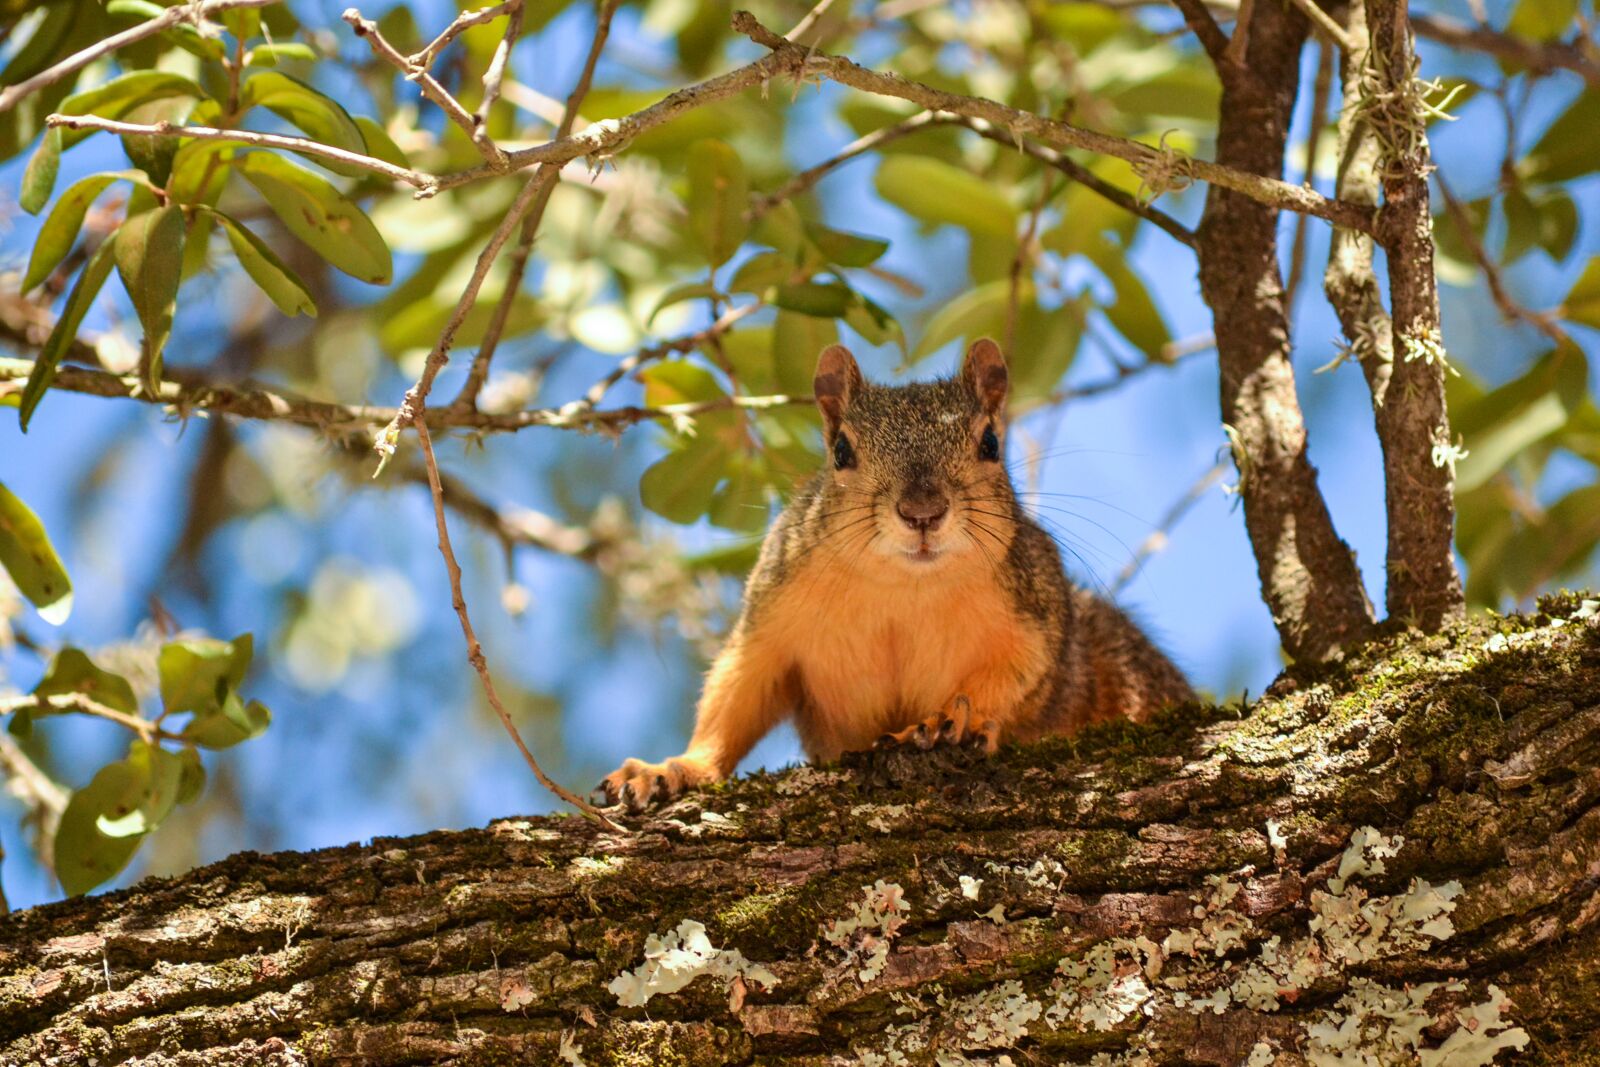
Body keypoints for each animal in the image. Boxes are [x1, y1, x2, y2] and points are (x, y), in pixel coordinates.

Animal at [598, 338, 1194, 810]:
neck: (904, 589)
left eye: (990, 443)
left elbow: (1018, 675)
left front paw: (951, 719)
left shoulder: (1037, 612)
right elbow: (736, 694)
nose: (922, 512)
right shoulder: (770, 617)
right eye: (841, 450)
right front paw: (672, 768)